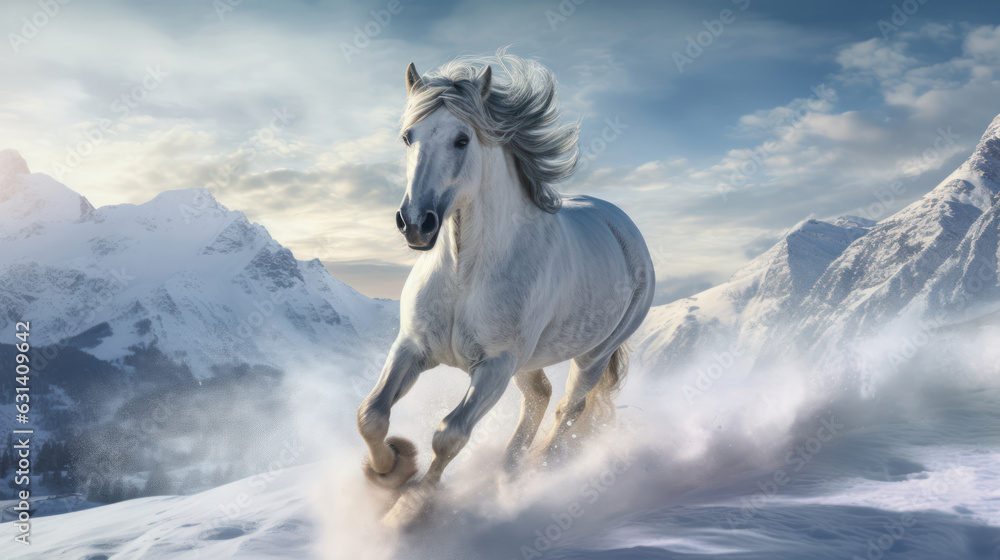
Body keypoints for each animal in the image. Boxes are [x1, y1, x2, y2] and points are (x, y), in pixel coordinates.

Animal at [356, 52, 652, 524]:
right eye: (407, 137)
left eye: (462, 140)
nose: (416, 223)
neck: (465, 274)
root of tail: (622, 225)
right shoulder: (412, 347)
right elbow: (372, 415)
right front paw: (390, 470)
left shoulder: (494, 366)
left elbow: (449, 434)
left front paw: (409, 507)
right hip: (529, 361)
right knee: (540, 397)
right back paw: (509, 470)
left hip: (590, 356)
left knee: (570, 407)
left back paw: (539, 470)